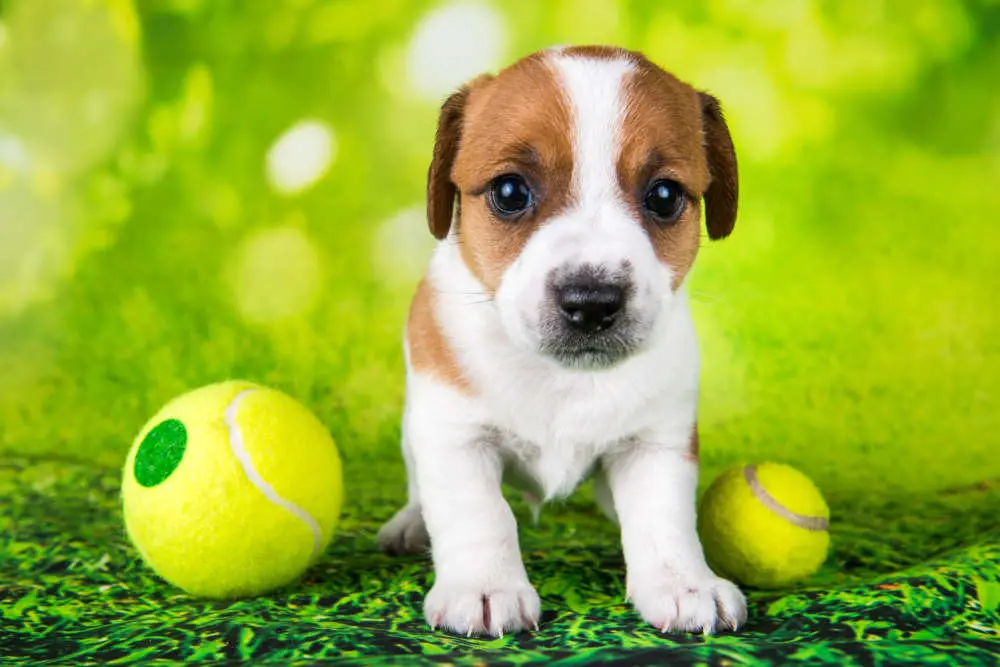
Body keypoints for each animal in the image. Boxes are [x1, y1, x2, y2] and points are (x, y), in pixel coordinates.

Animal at [378, 44, 748, 640]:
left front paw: (683, 583)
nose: (592, 301)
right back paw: (411, 523)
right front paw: (485, 587)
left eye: (665, 196)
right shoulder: (455, 437)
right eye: (509, 192)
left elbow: (664, 516)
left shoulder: (656, 442)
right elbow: (478, 514)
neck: (565, 377)